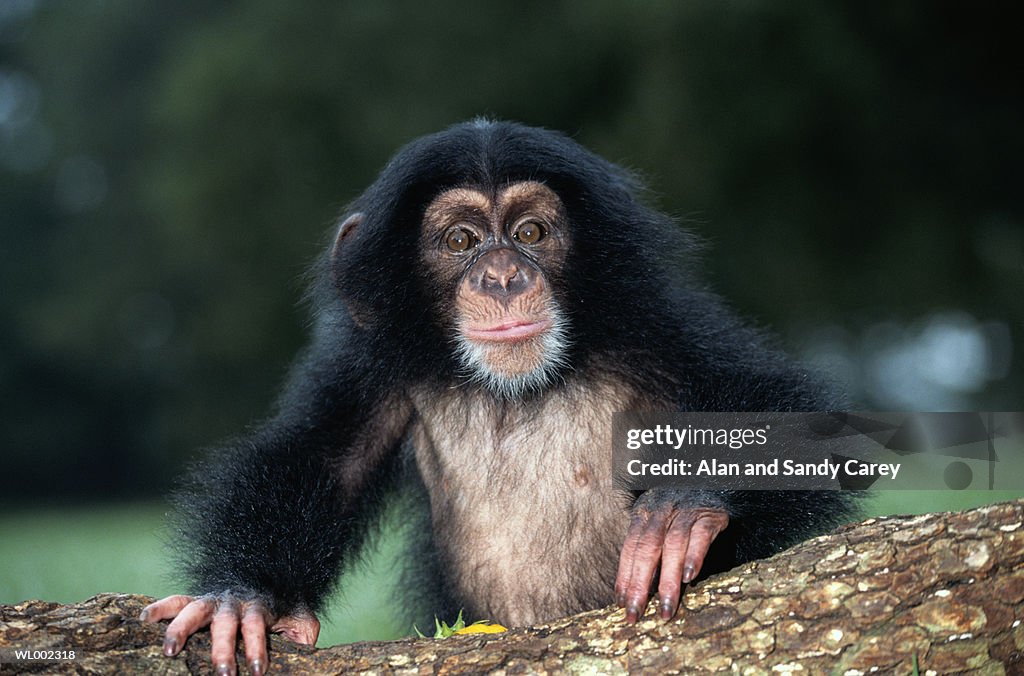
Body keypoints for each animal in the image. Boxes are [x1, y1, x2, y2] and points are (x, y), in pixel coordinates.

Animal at [140, 118, 860, 671]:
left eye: (530, 232)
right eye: (460, 240)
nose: (504, 275)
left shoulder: (655, 326)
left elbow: (776, 414)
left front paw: (688, 508)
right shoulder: (368, 365)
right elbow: (322, 458)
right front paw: (240, 599)